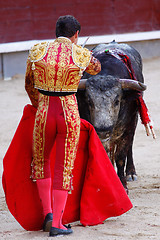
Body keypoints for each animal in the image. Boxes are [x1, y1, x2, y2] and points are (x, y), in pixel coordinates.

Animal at [77, 41, 147, 191]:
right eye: (89, 101)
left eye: (117, 101)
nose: (103, 130)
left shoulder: (128, 127)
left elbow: (120, 156)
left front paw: (123, 185)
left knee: (129, 146)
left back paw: (131, 173)